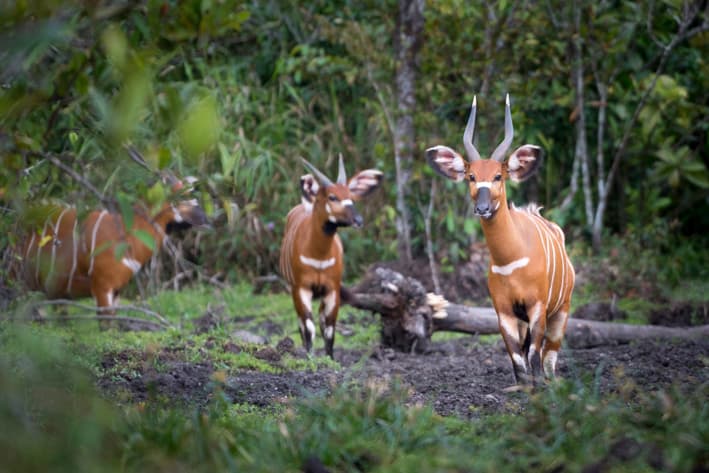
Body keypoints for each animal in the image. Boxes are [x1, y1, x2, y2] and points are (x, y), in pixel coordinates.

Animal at [424, 95, 572, 384]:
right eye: (471, 176)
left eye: (498, 176)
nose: (482, 208)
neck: (511, 260)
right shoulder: (503, 311)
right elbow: (518, 362)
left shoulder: (537, 307)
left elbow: (534, 357)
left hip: (562, 309)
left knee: (549, 358)